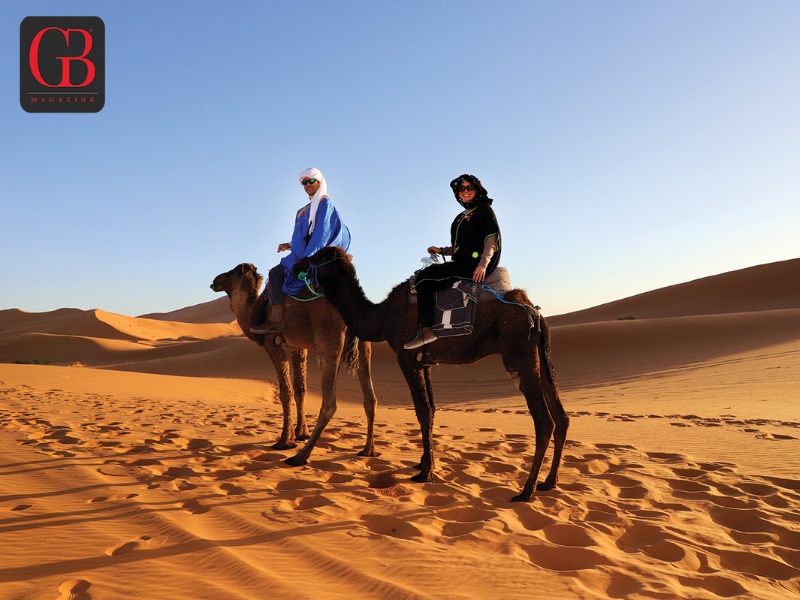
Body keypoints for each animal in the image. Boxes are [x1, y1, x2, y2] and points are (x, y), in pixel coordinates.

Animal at [209, 262, 378, 464]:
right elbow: (300, 388)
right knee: (370, 398)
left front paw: (284, 441)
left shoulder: (272, 342)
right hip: (364, 343)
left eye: (231, 273)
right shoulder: (299, 347)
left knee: (329, 403)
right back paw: (368, 450)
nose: (215, 281)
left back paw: (299, 457)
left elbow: (285, 391)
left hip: (328, 340)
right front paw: (300, 433)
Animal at [296, 246, 568, 504]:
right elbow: (432, 410)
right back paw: (549, 482)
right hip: (540, 356)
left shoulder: (406, 358)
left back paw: (526, 491)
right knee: (561, 417)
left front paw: (425, 473)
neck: (383, 317)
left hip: (520, 353)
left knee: (544, 421)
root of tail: (534, 311)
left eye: (319, 256)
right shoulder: (424, 361)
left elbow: (422, 411)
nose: (297, 264)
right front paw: (424, 463)